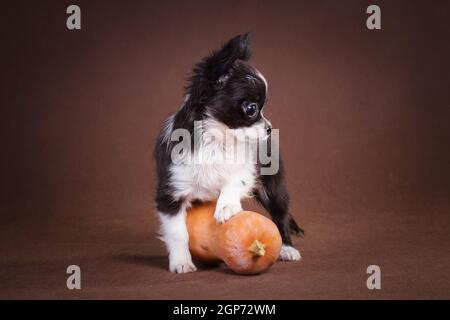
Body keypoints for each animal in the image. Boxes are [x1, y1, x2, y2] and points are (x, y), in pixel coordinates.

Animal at [154, 34, 302, 272]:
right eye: (252, 109)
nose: (269, 128)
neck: (217, 141)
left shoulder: (247, 169)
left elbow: (234, 180)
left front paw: (226, 206)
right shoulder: (171, 192)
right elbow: (177, 233)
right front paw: (181, 262)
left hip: (273, 188)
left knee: (281, 215)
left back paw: (287, 248)